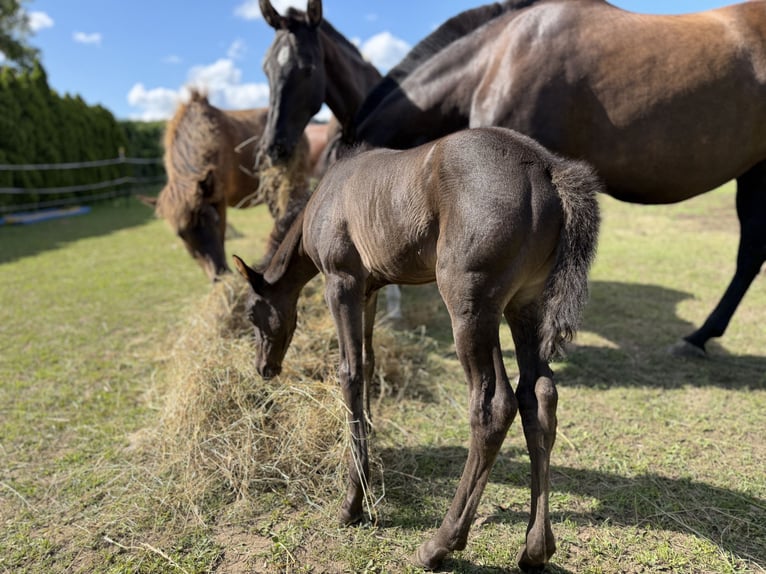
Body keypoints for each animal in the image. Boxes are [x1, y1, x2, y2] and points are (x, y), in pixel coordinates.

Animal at [232, 127, 603, 571]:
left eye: (251, 314)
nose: (263, 368)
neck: (325, 197)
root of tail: (549, 170)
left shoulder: (341, 283)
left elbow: (349, 372)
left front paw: (352, 503)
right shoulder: (370, 289)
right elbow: (369, 363)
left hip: (471, 305)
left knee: (494, 405)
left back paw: (439, 545)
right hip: (524, 305)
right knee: (539, 396)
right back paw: (536, 549)